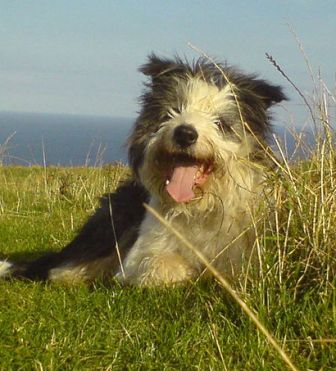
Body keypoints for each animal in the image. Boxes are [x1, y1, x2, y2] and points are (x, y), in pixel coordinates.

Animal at [0, 54, 286, 288]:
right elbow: (162, 266)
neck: (199, 207)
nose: (185, 133)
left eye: (221, 123)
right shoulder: (143, 252)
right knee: (61, 270)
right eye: (173, 111)